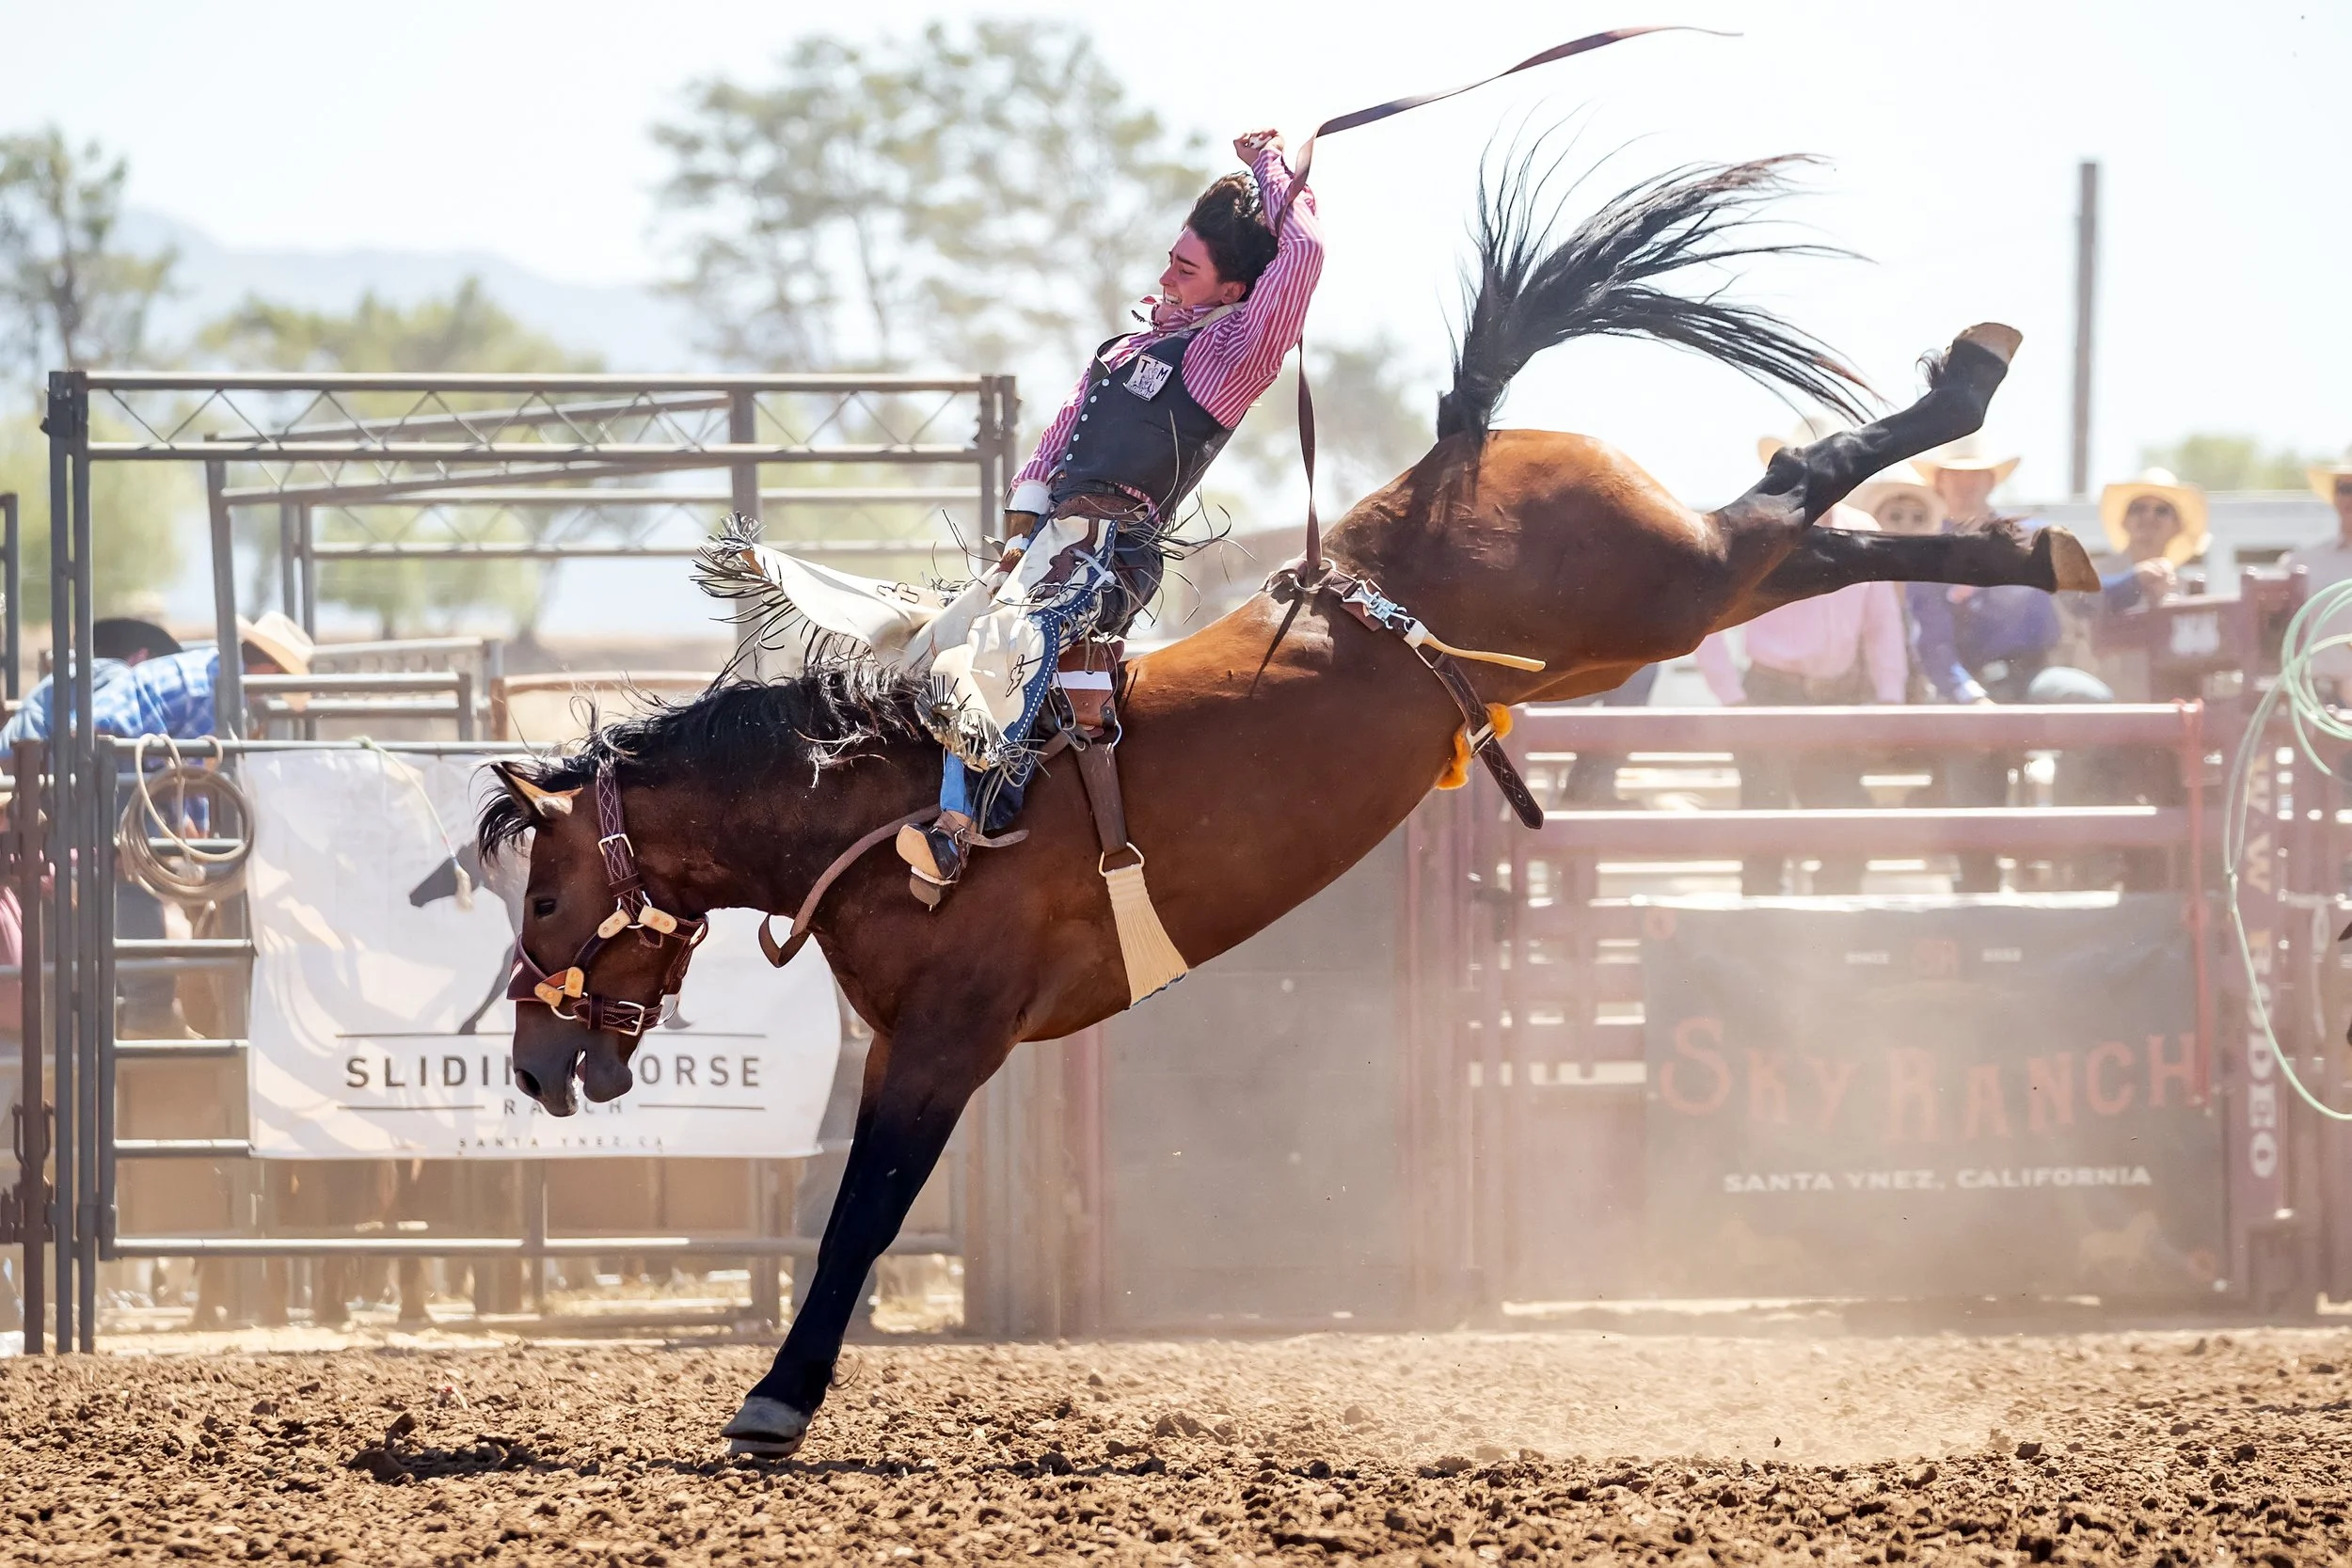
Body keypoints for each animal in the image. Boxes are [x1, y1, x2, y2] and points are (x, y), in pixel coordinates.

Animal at [476, 156, 2098, 1456]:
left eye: (546, 895)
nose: (537, 1069)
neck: (890, 803)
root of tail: (1461, 450)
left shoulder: (946, 1041)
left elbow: (862, 1214)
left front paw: (775, 1400)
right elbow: (848, 1202)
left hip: (1660, 585)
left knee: (1790, 489)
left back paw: (1980, 406)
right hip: (1646, 625)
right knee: (1808, 537)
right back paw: (2030, 533)